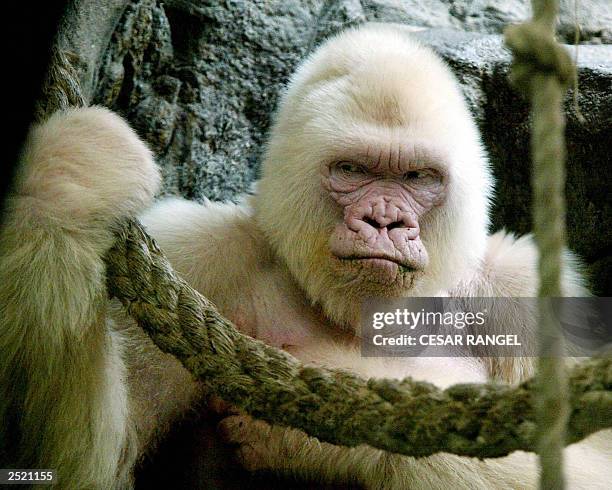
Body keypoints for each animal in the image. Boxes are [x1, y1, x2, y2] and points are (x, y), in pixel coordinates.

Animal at [1, 23, 612, 490]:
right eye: (352, 170)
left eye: (418, 177)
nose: (385, 222)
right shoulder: (196, 249)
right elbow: (90, 468)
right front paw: (70, 184)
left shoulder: (522, 288)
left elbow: (588, 461)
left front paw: (322, 439)